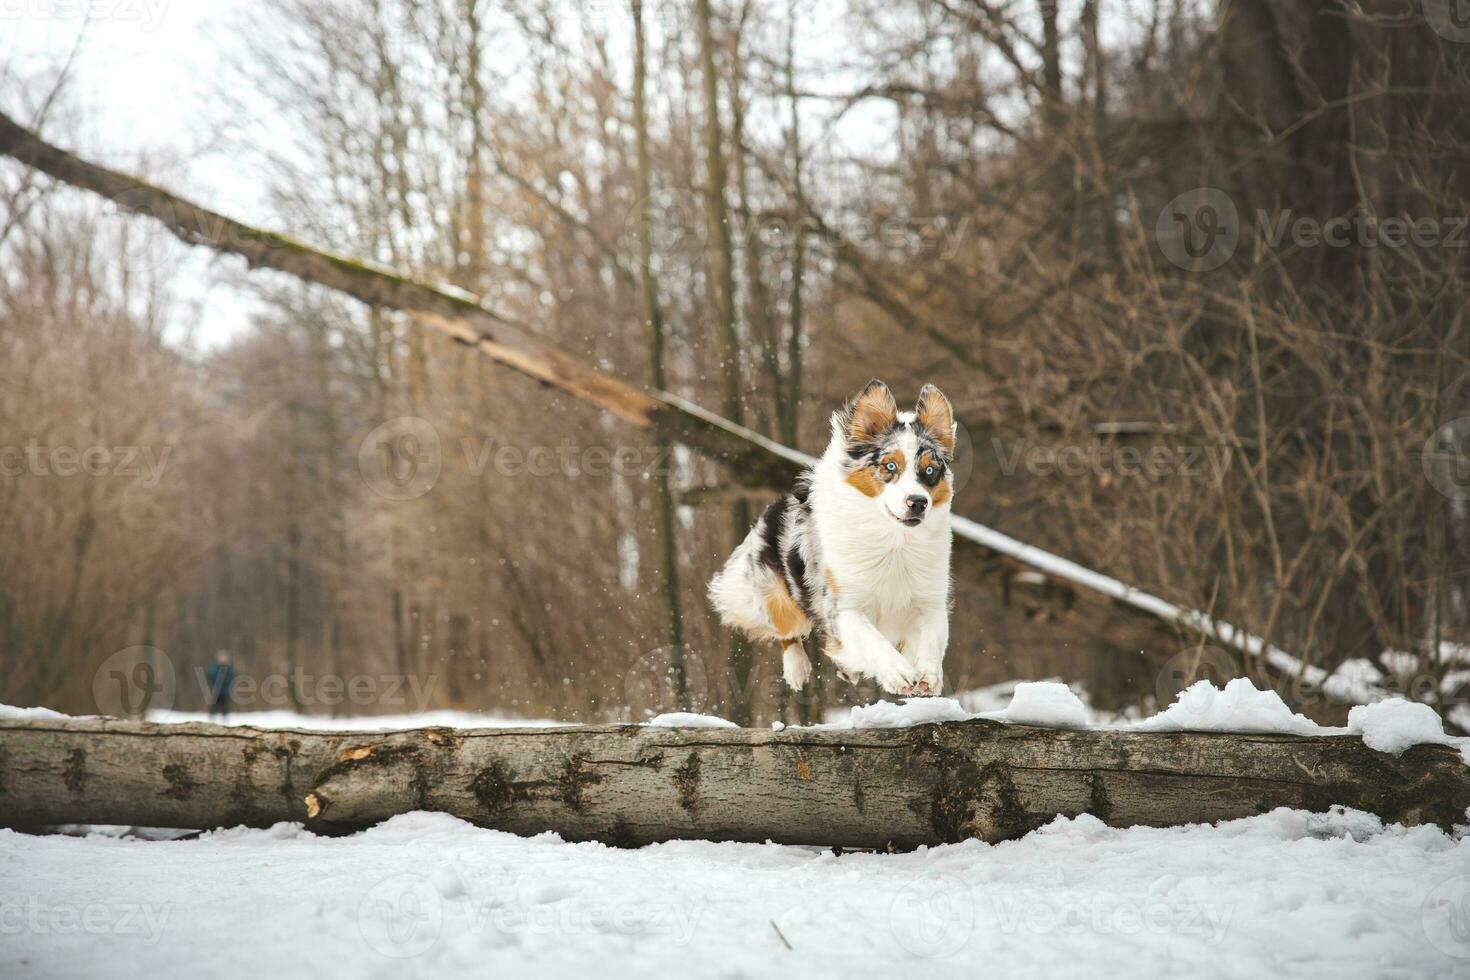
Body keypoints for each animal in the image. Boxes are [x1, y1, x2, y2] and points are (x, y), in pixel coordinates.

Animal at [708, 382, 952, 696]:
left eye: (930, 470)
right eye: (889, 466)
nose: (918, 502)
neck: (894, 541)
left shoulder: (929, 601)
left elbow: (932, 638)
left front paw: (929, 676)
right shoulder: (842, 605)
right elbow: (871, 638)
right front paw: (897, 672)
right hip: (776, 595)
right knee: (786, 629)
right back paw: (797, 669)